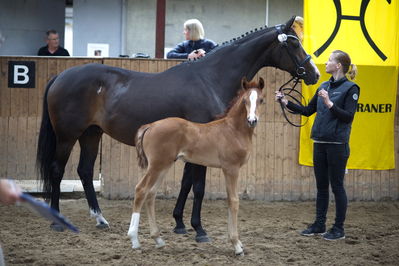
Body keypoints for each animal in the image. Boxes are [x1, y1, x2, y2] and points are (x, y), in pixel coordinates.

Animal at [128, 77, 266, 256]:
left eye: (261, 100)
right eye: (244, 100)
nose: (252, 120)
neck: (233, 130)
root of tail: (150, 125)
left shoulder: (229, 170)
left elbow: (230, 200)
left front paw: (238, 243)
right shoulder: (231, 168)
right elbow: (234, 201)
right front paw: (236, 245)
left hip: (163, 166)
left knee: (150, 194)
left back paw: (158, 239)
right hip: (156, 166)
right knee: (141, 190)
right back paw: (134, 240)